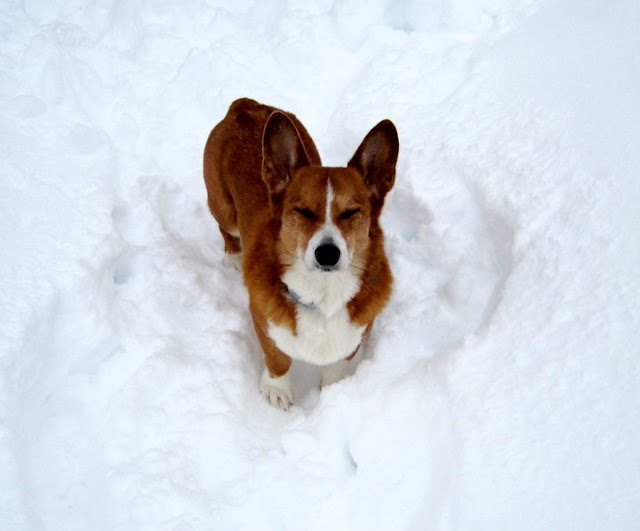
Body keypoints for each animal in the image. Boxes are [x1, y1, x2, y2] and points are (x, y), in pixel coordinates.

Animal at [203, 98, 398, 409]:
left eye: (351, 212)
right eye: (303, 210)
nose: (327, 254)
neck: (323, 293)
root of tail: (244, 106)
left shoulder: (354, 338)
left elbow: (337, 365)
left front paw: (333, 391)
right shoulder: (263, 322)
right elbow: (278, 359)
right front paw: (277, 390)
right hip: (222, 208)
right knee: (227, 231)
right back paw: (233, 257)